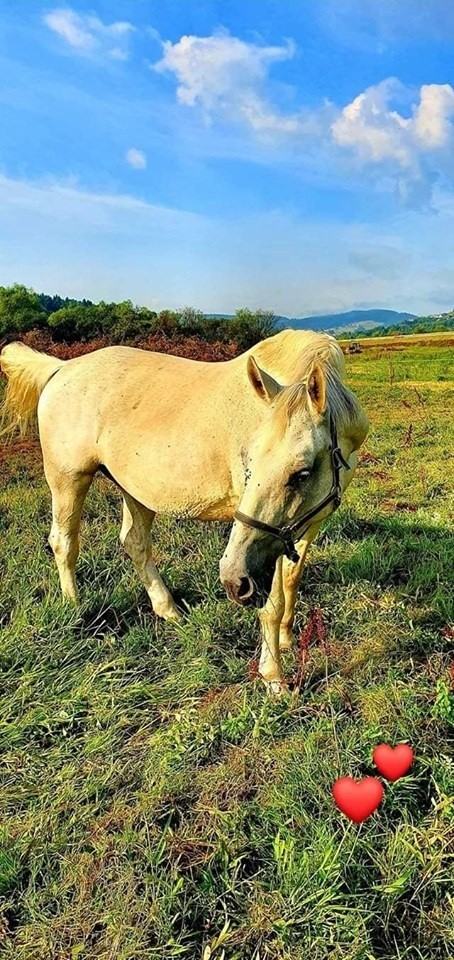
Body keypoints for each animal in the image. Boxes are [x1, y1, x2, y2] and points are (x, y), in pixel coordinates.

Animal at [0, 330, 368, 688]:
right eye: (248, 463)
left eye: (302, 473)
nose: (234, 581)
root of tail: (61, 368)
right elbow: (272, 604)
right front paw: (273, 677)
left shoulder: (302, 526)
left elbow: (292, 580)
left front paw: (287, 639)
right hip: (68, 479)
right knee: (64, 542)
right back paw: (76, 610)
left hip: (135, 489)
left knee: (134, 542)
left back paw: (169, 610)